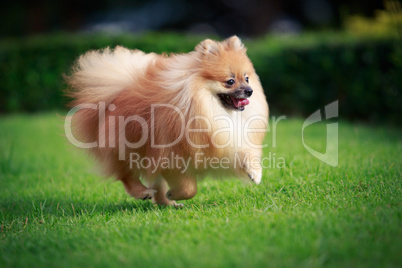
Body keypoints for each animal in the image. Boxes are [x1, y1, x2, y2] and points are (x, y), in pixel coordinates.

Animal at [65, 35, 266, 207]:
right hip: (126, 147)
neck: (207, 108)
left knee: (154, 182)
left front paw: (255, 172)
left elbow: (246, 152)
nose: (249, 91)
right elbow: (190, 188)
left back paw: (167, 203)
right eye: (230, 81)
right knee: (126, 174)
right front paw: (176, 193)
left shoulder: (229, 138)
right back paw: (143, 192)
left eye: (247, 78)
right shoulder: (173, 156)